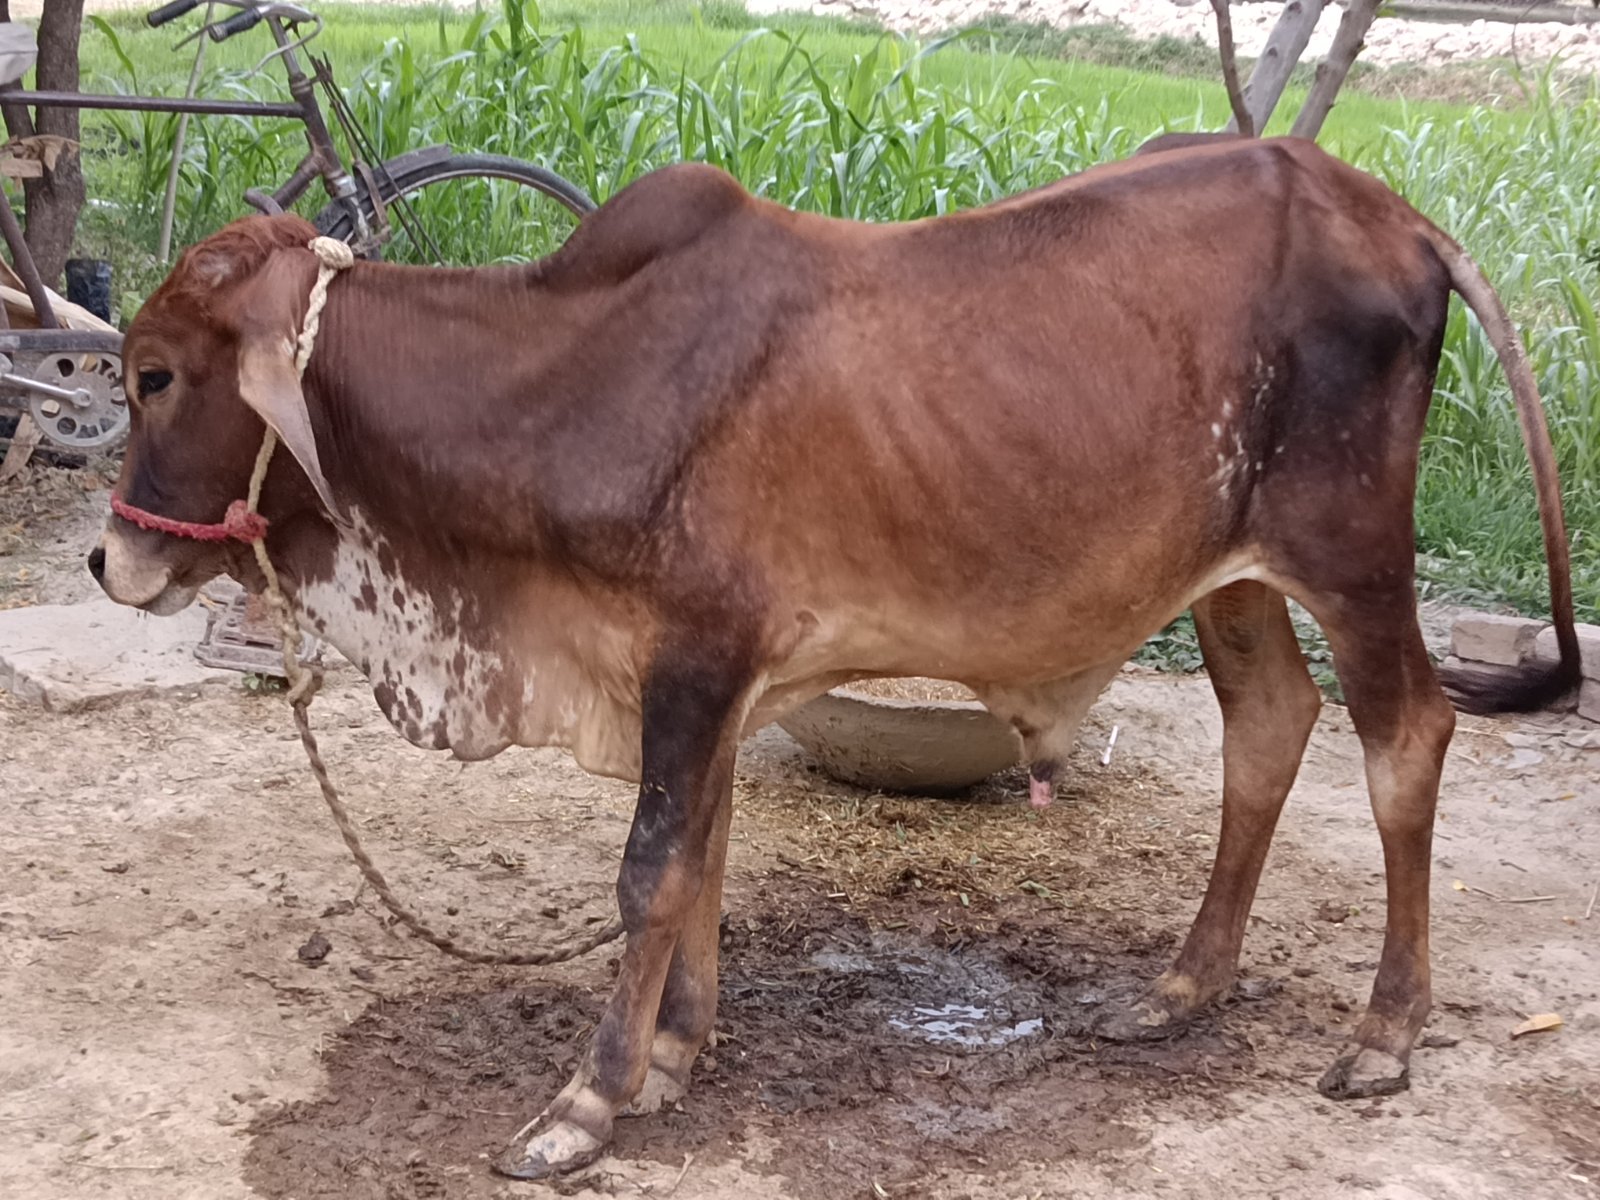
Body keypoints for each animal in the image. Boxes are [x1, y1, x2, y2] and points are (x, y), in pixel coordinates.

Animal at [91, 136, 1579, 1179]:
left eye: (155, 374)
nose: (111, 562)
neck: (558, 383)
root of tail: (1384, 210)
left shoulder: (697, 655)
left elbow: (650, 871)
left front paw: (586, 1103)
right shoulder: (701, 677)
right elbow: (700, 858)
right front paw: (675, 1057)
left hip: (1352, 554)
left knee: (1406, 741)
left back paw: (1384, 1037)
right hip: (1235, 579)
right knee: (1267, 725)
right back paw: (1176, 992)